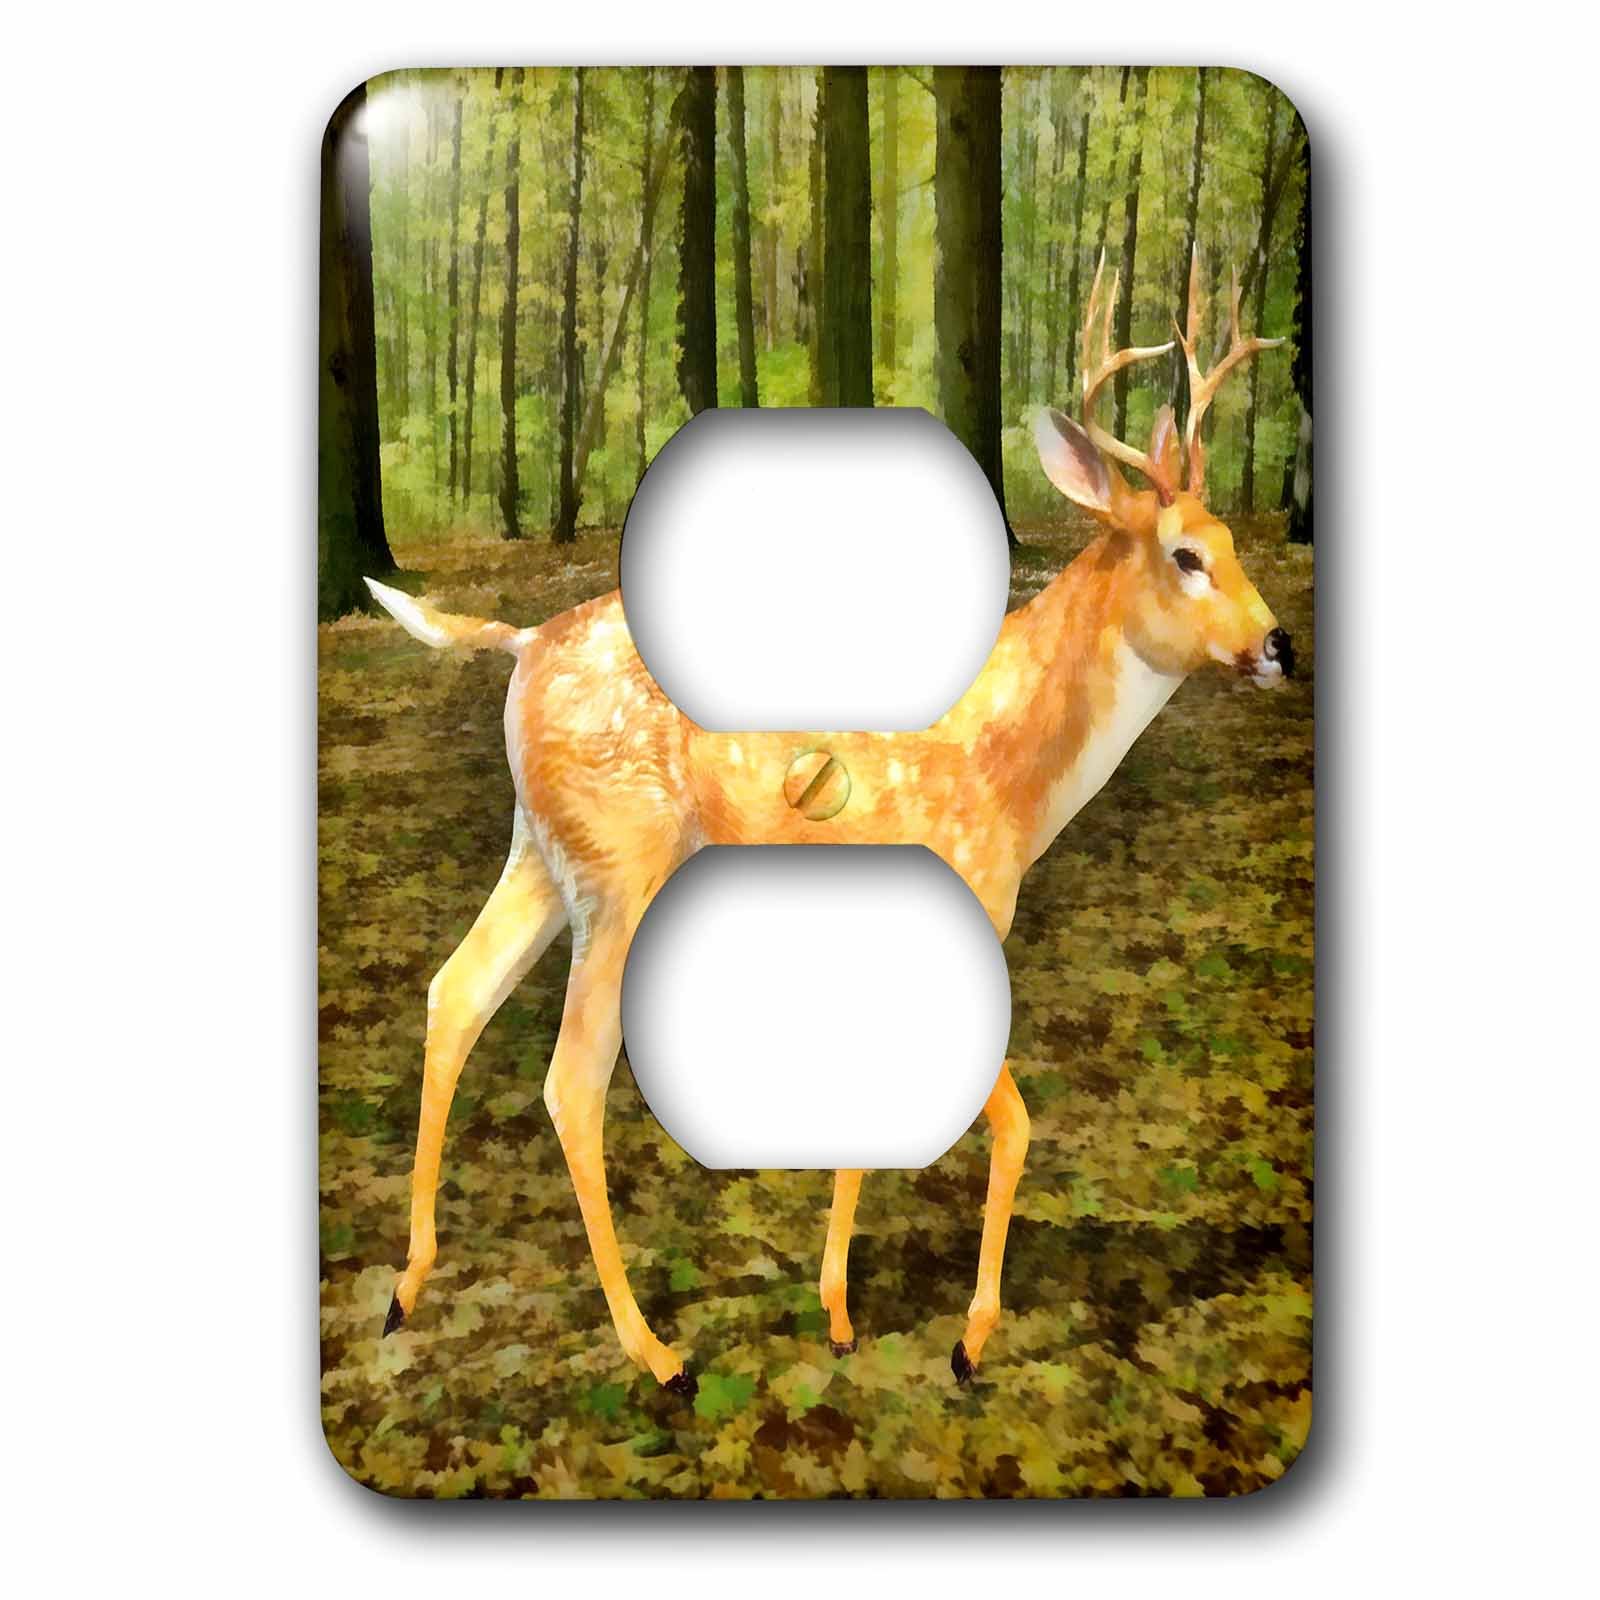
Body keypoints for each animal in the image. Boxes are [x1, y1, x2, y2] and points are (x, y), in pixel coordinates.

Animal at [362, 246, 1291, 1396]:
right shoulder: (962, 898)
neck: (1015, 781)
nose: (1278, 644)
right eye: (1183, 555)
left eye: (1234, 539)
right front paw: (967, 1341)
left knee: (455, 991)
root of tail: (523, 641)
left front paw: (840, 1313)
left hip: (540, 845)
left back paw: (406, 1291)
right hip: (621, 861)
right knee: (569, 1076)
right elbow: (1015, 1120)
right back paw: (655, 1352)